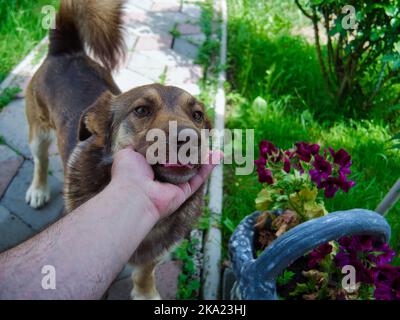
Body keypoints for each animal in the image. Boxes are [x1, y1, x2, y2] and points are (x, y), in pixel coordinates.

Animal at [25, 0, 211, 300]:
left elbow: (145, 270)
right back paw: (38, 189)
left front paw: (146, 293)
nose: (191, 139)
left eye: (197, 116)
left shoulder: (156, 251)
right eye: (141, 110)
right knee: (40, 160)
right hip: (38, 132)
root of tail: (65, 50)